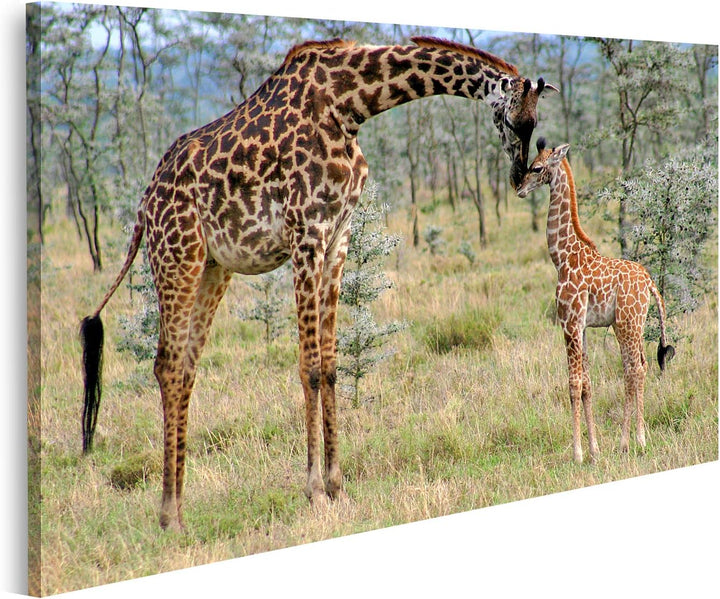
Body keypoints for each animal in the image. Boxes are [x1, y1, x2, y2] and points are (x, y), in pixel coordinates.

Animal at [80, 37, 556, 530]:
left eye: (535, 123)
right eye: (512, 120)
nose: (519, 177)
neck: (350, 104)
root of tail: (144, 203)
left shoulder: (337, 237)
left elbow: (329, 365)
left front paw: (338, 486)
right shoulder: (306, 234)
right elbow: (308, 366)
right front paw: (314, 493)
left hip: (214, 267)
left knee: (186, 366)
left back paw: (180, 505)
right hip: (177, 257)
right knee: (167, 365)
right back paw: (168, 516)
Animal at [516, 139, 675, 464]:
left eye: (536, 168)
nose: (520, 189)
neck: (562, 257)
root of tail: (651, 283)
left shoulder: (569, 324)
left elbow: (573, 384)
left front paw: (577, 454)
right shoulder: (583, 327)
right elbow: (588, 384)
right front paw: (594, 450)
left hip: (627, 323)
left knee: (635, 369)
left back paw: (635, 441)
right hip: (630, 324)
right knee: (637, 367)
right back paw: (632, 440)